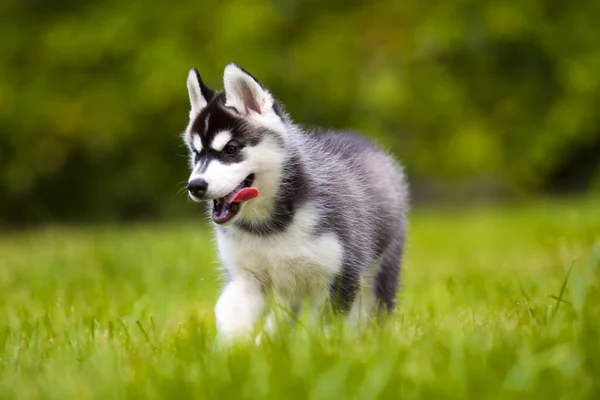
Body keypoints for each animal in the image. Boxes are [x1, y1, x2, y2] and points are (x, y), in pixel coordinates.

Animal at [183, 63, 408, 340]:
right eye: (196, 153)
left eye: (231, 149)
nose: (195, 186)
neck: (270, 226)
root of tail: (361, 139)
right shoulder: (245, 276)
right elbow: (231, 318)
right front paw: (234, 349)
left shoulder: (341, 275)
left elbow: (325, 328)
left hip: (382, 268)